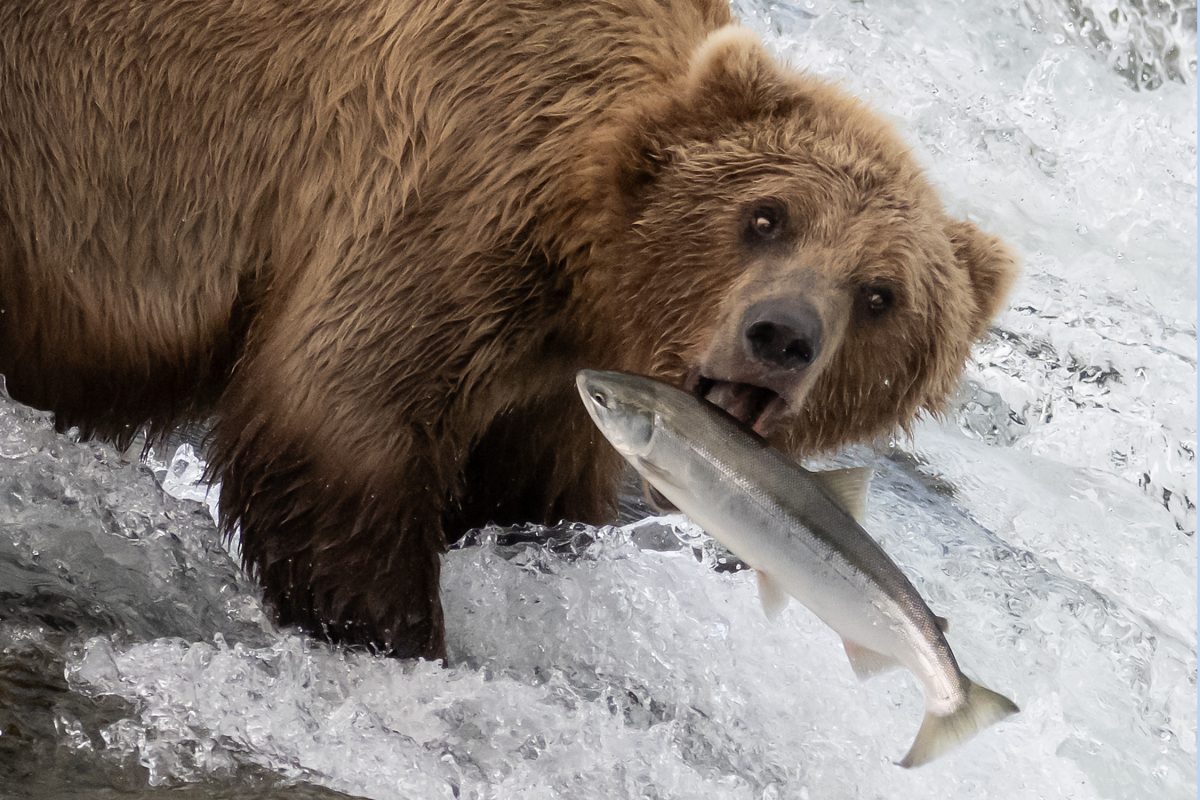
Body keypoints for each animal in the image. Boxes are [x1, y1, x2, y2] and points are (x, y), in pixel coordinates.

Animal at [0, 3, 1012, 662]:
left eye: (880, 294)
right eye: (766, 215)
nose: (781, 335)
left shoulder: (551, 381)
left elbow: (527, 497)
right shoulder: (442, 192)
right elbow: (340, 417)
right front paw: (398, 636)